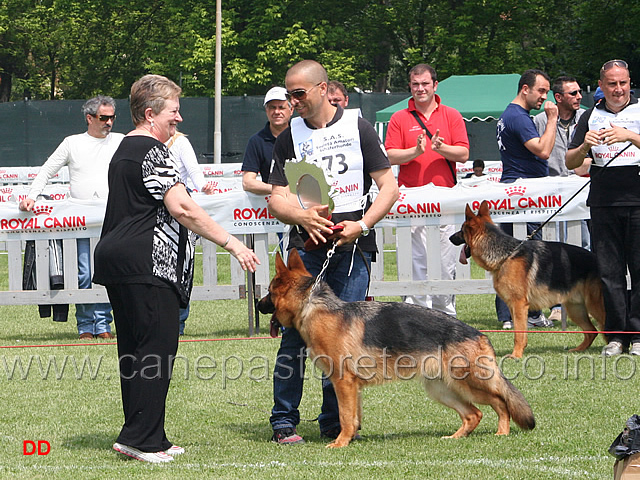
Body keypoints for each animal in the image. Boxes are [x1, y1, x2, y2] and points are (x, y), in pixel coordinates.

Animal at [256, 249, 536, 448]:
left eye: (269, 291)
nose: (258, 304)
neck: (313, 307)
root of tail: (480, 334)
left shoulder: (343, 382)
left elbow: (346, 416)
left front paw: (340, 443)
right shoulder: (352, 387)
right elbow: (353, 417)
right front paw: (351, 438)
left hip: (469, 382)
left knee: (501, 401)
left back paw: (502, 432)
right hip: (442, 389)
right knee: (474, 414)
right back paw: (456, 437)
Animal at [450, 201, 604, 358]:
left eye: (461, 230)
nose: (450, 238)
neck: (506, 255)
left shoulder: (519, 305)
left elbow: (519, 334)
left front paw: (516, 355)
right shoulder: (513, 306)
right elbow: (520, 333)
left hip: (595, 307)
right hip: (575, 309)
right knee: (592, 331)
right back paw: (579, 350)